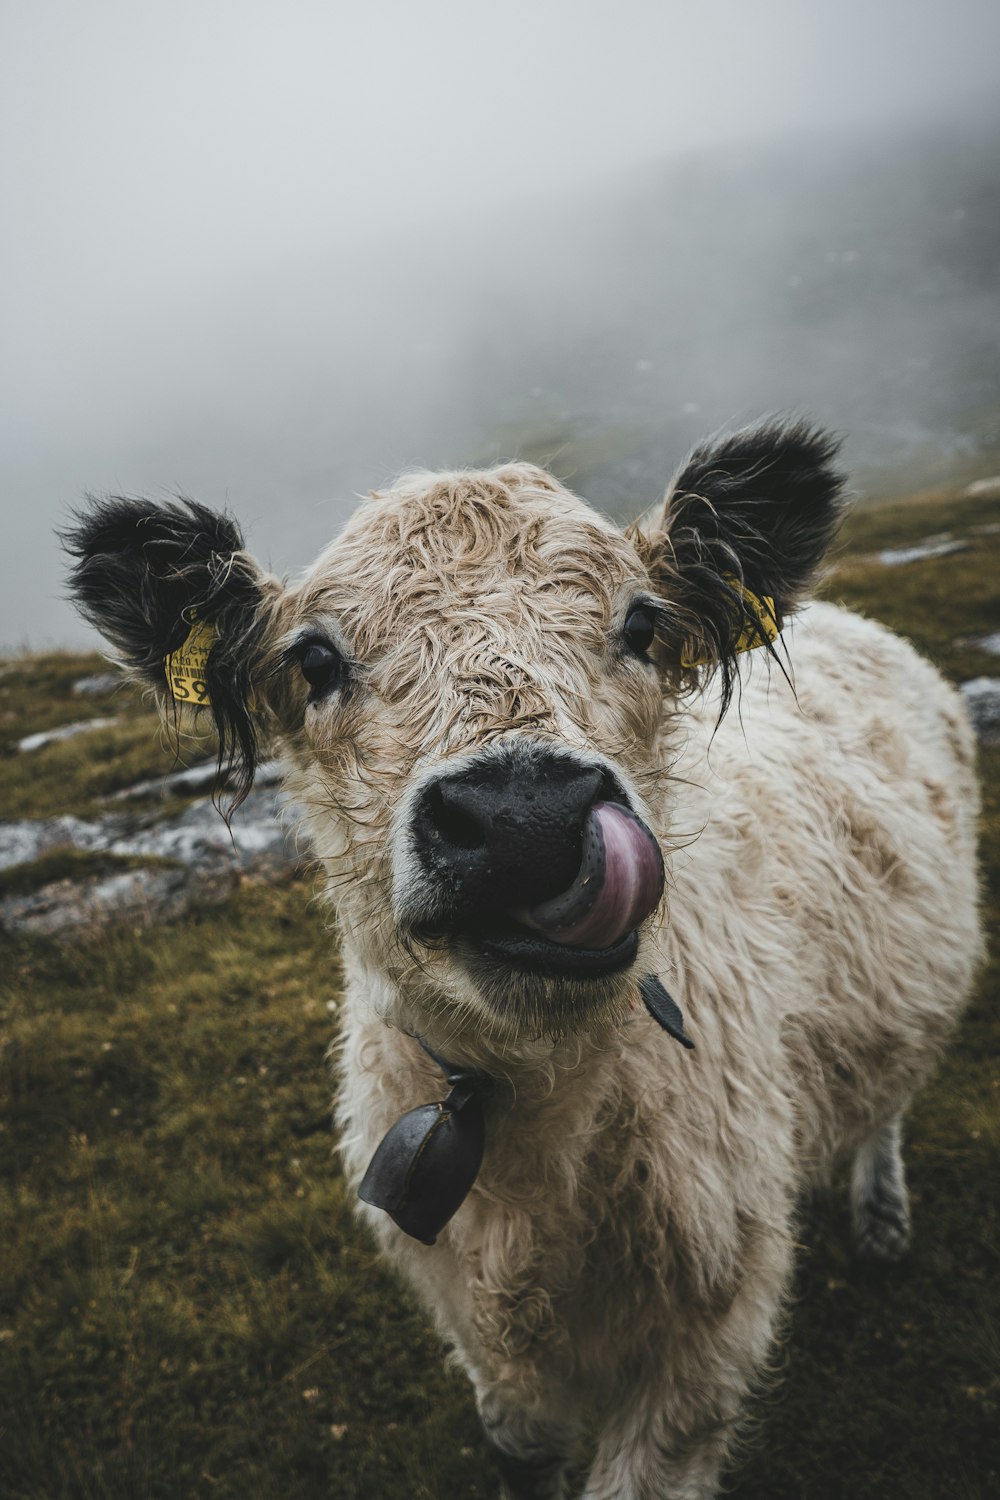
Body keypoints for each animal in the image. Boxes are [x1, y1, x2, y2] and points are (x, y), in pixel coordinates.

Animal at [66, 426, 983, 1500]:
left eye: (643, 625)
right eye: (315, 657)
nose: (524, 816)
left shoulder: (706, 1344)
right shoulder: (479, 1342)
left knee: (886, 1103)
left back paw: (881, 1215)